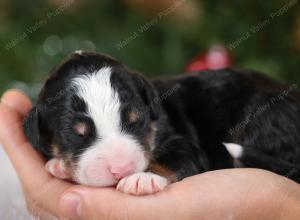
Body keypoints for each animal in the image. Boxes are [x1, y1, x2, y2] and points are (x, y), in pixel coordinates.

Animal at [24, 52, 300, 196]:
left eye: (136, 121)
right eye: (76, 134)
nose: (121, 169)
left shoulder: (182, 142)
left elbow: (174, 159)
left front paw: (143, 178)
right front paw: (59, 165)